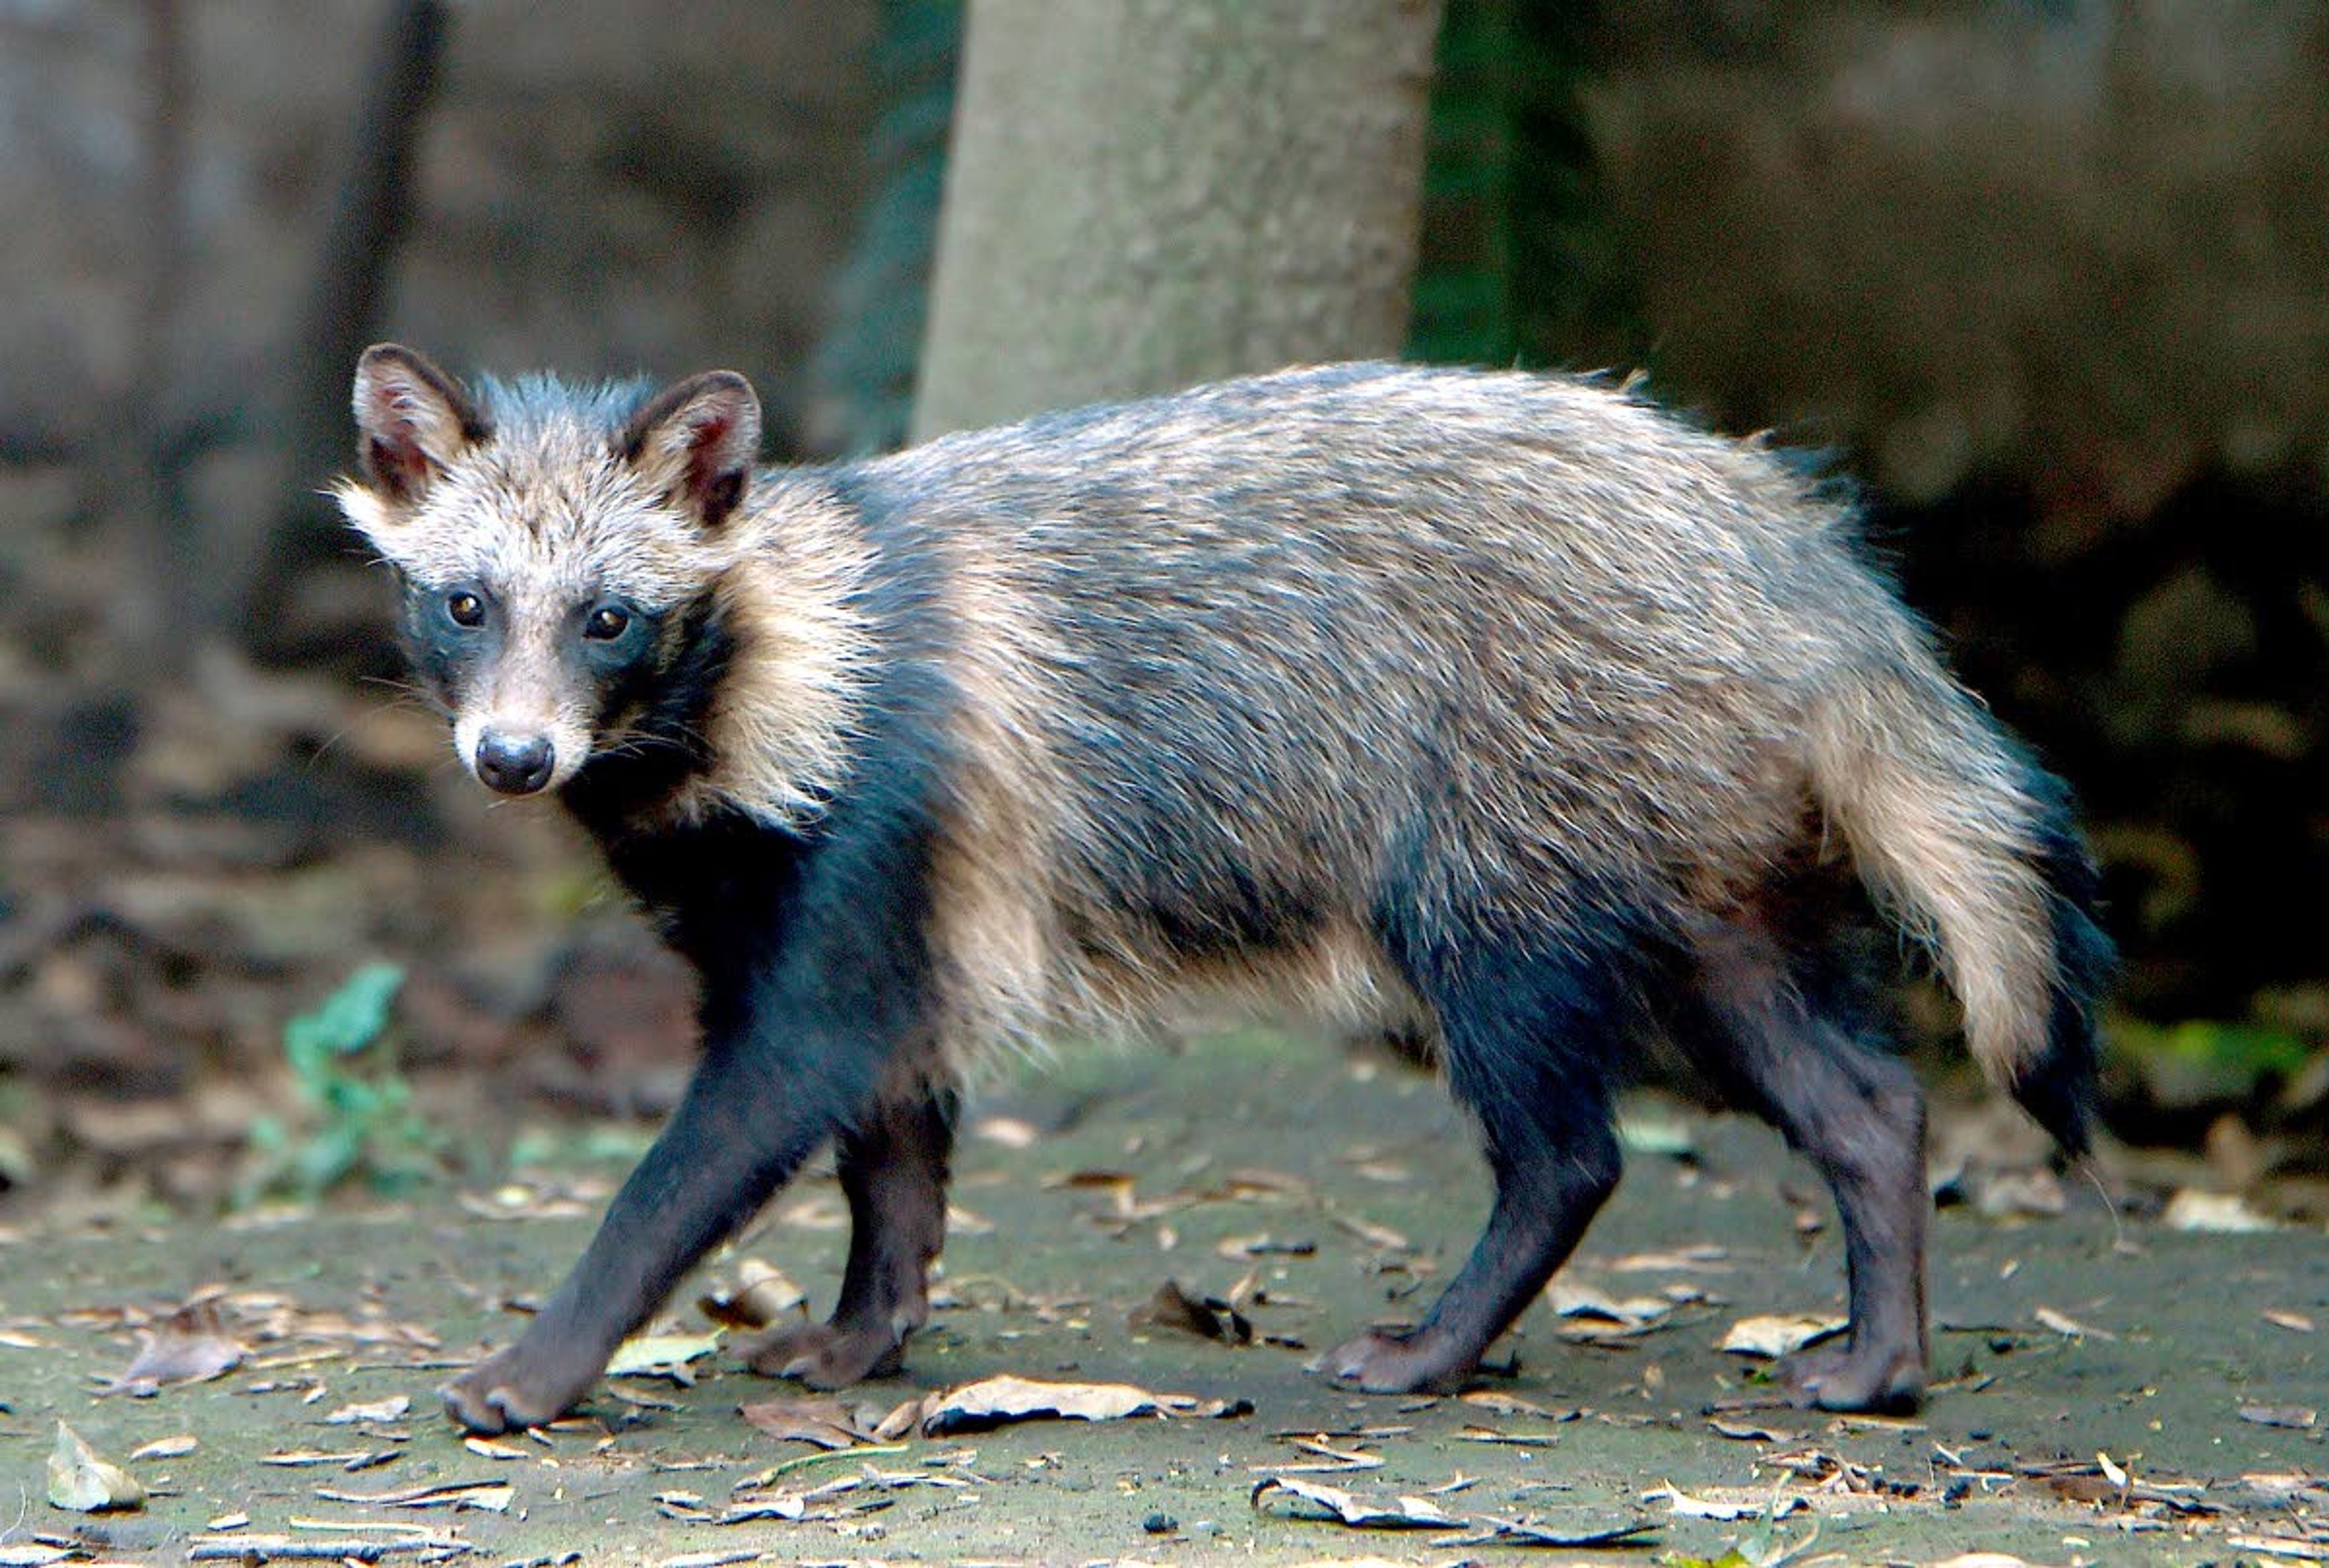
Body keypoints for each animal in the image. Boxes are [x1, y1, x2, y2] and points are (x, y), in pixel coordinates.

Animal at [340, 342, 2114, 1435]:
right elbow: (895, 1159)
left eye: (610, 619)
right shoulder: (860, 919)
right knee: (1864, 1100)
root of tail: (1775, 531)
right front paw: (866, 1325)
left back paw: (1444, 1341)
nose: (513, 758)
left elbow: (697, 1162)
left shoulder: (859, 877)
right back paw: (1883, 1349)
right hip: (1701, 894)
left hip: (1496, 870)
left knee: (1571, 1149)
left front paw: (543, 1357)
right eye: (466, 602)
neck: (791, 653)